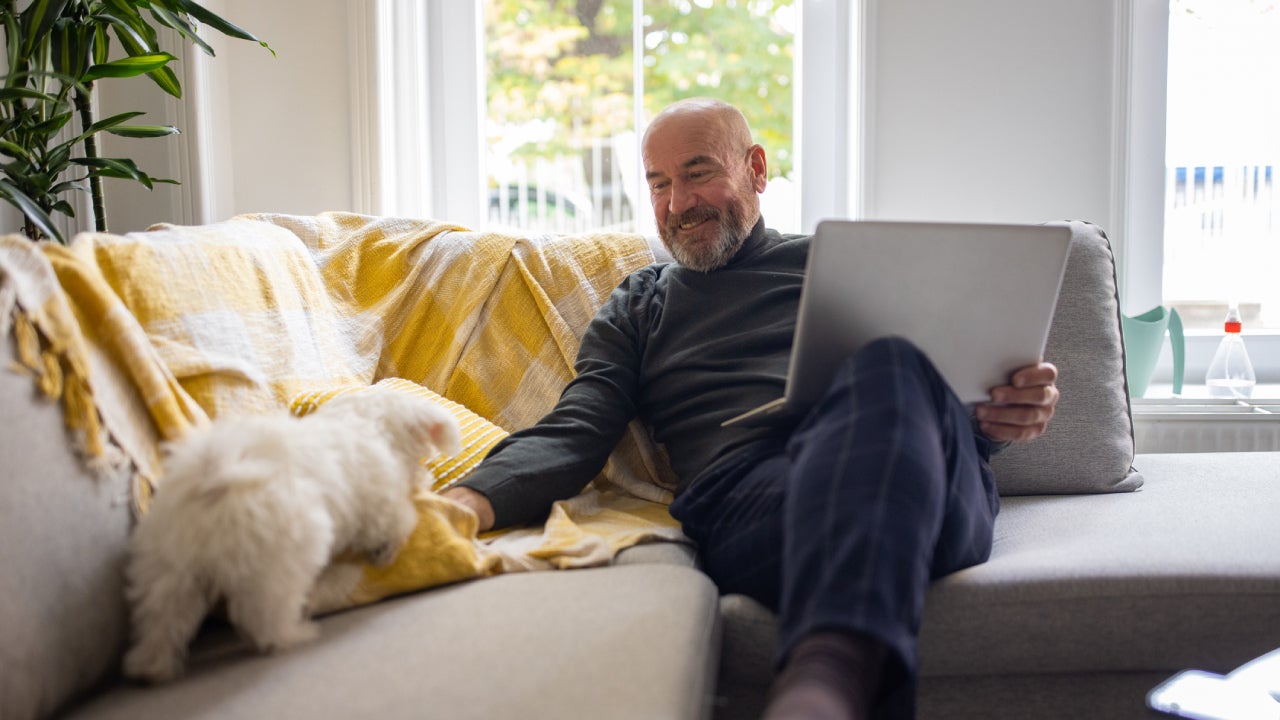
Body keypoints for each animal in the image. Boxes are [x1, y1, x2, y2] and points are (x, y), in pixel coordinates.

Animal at [122, 384, 463, 681]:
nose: (428, 481)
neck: (371, 424)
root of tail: (213, 483)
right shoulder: (382, 506)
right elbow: (399, 523)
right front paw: (386, 551)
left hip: (168, 569)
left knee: (162, 619)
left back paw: (150, 666)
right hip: (282, 558)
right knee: (266, 618)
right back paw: (295, 634)